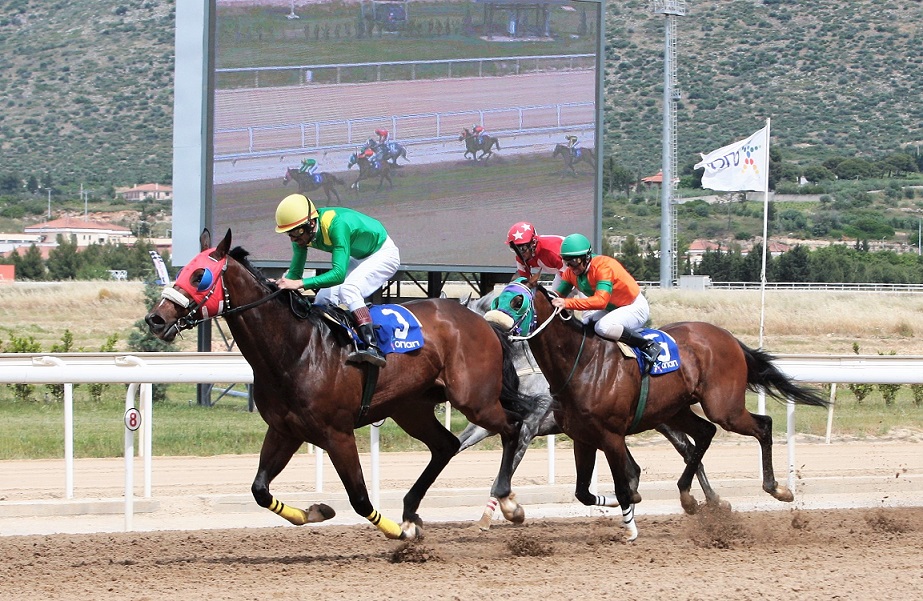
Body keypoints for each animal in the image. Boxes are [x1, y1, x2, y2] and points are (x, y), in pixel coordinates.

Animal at [143, 229, 536, 540]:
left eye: (200, 276)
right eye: (181, 271)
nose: (155, 319)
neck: (297, 349)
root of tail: (484, 321)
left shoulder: (338, 433)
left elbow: (360, 499)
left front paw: (397, 534)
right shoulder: (285, 430)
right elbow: (259, 489)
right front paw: (316, 511)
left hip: (474, 399)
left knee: (513, 425)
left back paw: (507, 501)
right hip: (412, 408)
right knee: (446, 445)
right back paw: (411, 511)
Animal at [454, 288, 720, 528]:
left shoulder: (530, 423)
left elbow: (505, 471)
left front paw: (504, 513)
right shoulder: (486, 425)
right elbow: (459, 445)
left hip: (661, 419)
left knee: (687, 450)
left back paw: (712, 501)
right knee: (636, 468)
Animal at [484, 276, 832, 540]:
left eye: (518, 301)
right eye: (497, 299)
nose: (494, 326)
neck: (581, 363)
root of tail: (728, 338)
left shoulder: (611, 436)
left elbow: (622, 485)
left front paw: (630, 530)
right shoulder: (582, 437)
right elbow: (584, 492)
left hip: (724, 407)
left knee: (762, 425)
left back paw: (777, 489)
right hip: (676, 410)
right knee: (704, 434)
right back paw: (688, 496)